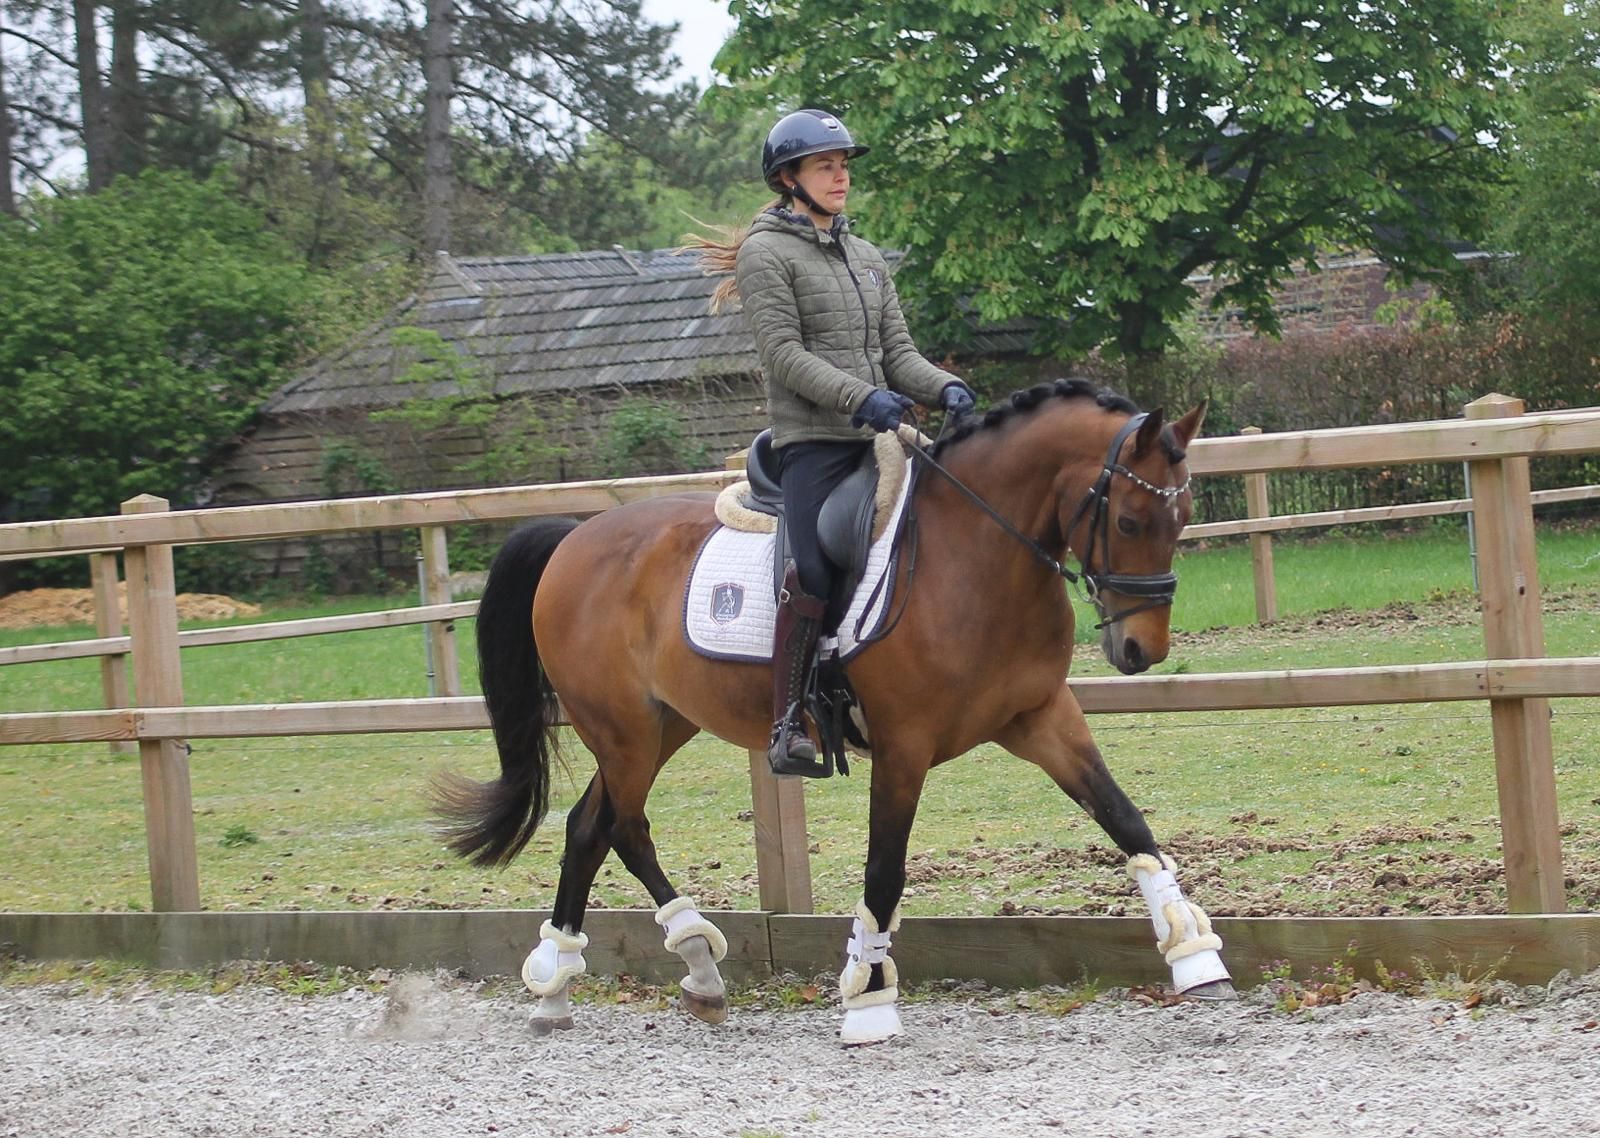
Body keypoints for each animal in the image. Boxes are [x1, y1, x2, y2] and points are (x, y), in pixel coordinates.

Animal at [433, 377, 1229, 1045]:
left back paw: (590, 984)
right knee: (622, 826)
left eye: (1184, 515)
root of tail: (575, 536)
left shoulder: (1039, 717)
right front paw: (869, 999)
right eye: (1131, 521)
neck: (973, 556)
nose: (1141, 649)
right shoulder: (905, 745)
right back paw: (664, 960)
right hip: (623, 729)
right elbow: (885, 870)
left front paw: (1196, 958)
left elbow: (1126, 820)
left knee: (589, 826)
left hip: (663, 724)